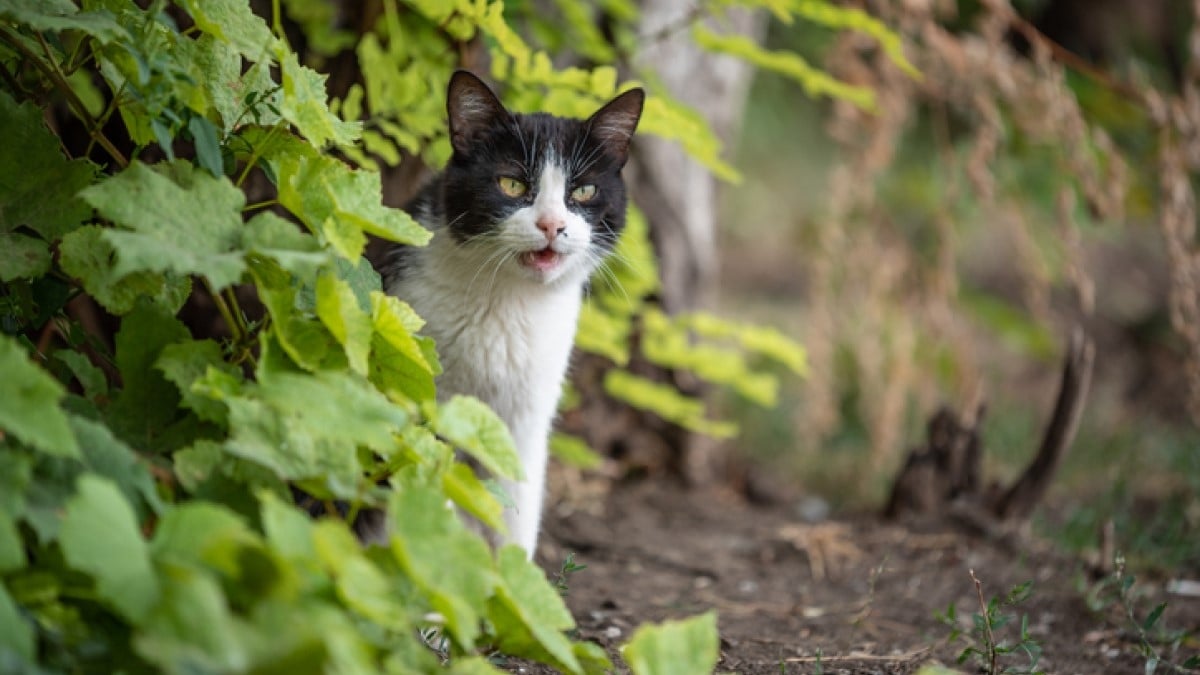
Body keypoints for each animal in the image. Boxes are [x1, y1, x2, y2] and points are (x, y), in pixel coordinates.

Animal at [384, 70, 648, 554]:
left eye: (584, 190)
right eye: (512, 185)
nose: (551, 224)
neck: (509, 302)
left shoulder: (526, 420)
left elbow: (518, 506)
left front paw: (512, 573)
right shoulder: (420, 381)